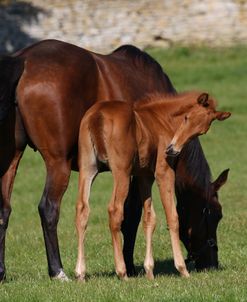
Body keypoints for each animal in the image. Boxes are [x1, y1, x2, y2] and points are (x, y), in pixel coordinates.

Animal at [76, 92, 231, 280]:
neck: (162, 120)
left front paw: (149, 271)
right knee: (115, 210)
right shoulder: (164, 172)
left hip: (87, 168)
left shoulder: (144, 176)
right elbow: (172, 217)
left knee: (82, 209)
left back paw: (80, 273)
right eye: (187, 118)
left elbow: (149, 218)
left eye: (201, 131)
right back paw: (122, 272)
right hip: (122, 172)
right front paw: (182, 269)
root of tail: (98, 115)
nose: (172, 149)